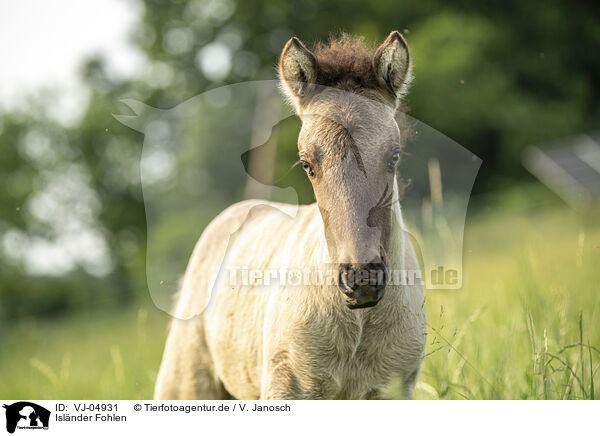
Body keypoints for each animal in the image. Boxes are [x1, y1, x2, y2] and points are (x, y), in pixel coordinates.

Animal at [155, 30, 426, 398]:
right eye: (307, 164)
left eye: (394, 156)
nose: (362, 280)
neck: (357, 324)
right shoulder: (286, 386)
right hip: (186, 382)